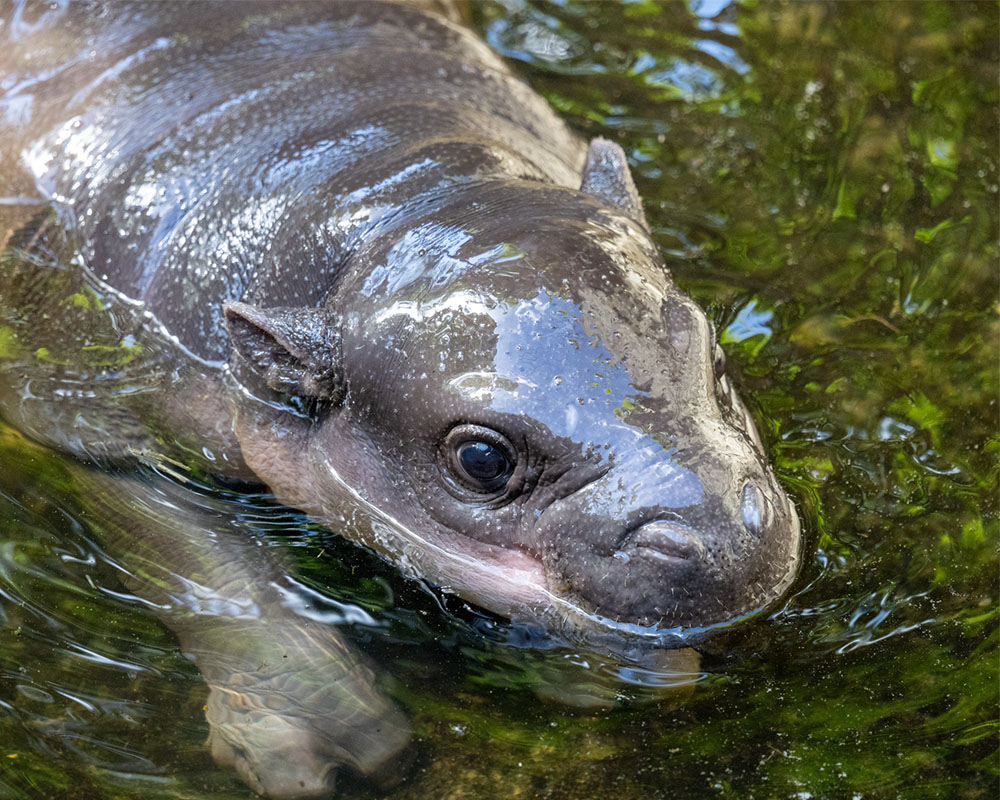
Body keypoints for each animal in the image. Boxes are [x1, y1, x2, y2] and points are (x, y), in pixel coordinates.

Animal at [0, 0, 801, 796]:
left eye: (714, 356)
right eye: (481, 459)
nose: (725, 537)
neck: (385, 196)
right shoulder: (96, 417)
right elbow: (206, 571)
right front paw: (327, 737)